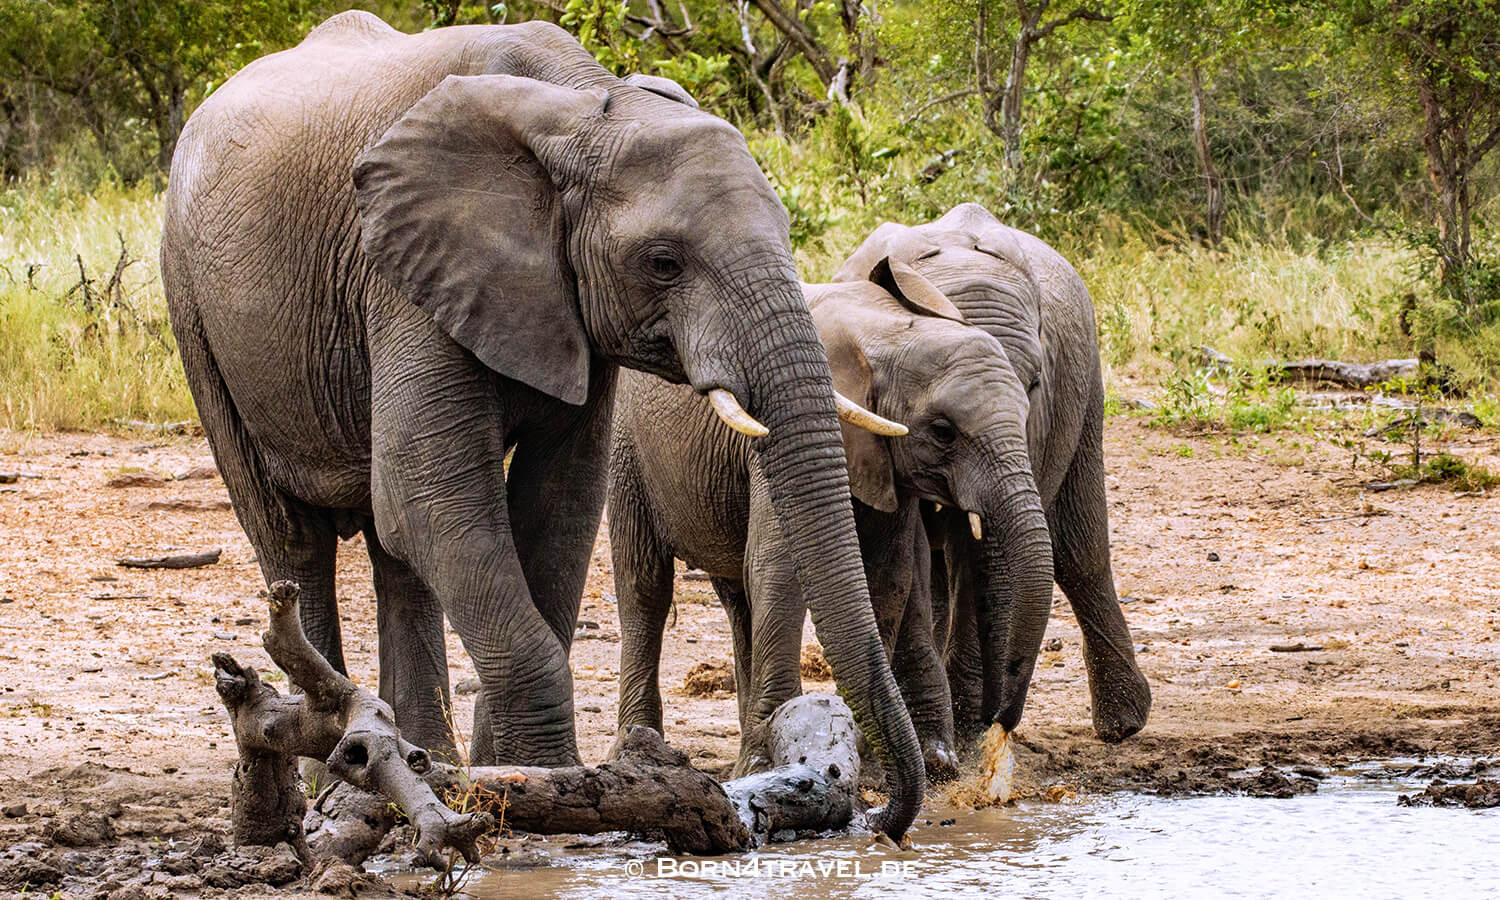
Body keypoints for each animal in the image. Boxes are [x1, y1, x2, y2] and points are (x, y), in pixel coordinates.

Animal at [160, 11, 924, 839]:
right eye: (663, 262)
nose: (880, 815)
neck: (580, 107)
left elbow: (556, 506)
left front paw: (516, 778)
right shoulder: (400, 277)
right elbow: (431, 499)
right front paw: (550, 789)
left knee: (397, 557)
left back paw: (419, 760)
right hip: (195, 311)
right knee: (293, 536)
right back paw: (337, 769)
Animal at [610, 259, 1050, 782]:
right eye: (944, 431)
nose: (1000, 723)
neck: (890, 335)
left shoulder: (885, 466)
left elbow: (889, 574)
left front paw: (866, 761)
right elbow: (779, 570)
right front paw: (766, 762)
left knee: (739, 597)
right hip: (627, 447)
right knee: (644, 588)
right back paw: (639, 750)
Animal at [834, 203, 1152, 744]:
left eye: (1034, 384)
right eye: (942, 425)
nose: (1000, 716)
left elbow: (986, 559)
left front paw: (966, 732)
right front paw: (958, 729)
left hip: (1087, 387)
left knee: (1078, 551)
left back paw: (1122, 724)